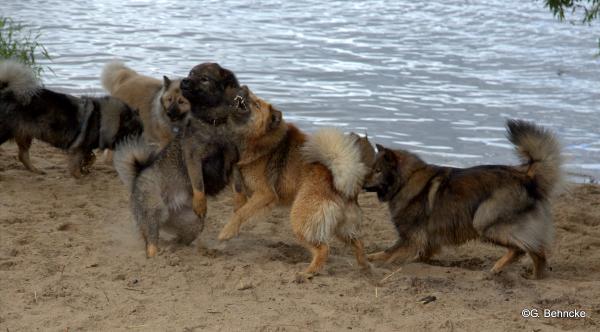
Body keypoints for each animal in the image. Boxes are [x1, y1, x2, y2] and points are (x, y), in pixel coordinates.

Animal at [0, 60, 143, 178]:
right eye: (134, 133)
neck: (103, 119)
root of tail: (5, 93)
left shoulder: (85, 147)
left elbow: (91, 158)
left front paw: (86, 168)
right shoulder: (79, 148)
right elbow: (76, 163)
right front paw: (79, 176)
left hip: (25, 134)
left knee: (23, 156)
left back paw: (36, 170)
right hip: (7, 133)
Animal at [216, 90, 376, 280]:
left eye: (256, 104)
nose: (244, 90)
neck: (258, 138)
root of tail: (341, 184)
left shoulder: (265, 194)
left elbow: (241, 213)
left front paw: (226, 233)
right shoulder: (241, 187)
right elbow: (238, 206)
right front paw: (234, 231)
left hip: (301, 221)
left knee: (323, 249)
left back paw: (308, 273)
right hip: (342, 227)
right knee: (358, 242)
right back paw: (365, 267)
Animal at [364, 118, 564, 278]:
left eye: (378, 170)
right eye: (372, 168)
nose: (360, 182)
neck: (406, 180)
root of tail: (526, 177)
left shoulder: (410, 239)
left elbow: (384, 254)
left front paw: (370, 260)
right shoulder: (427, 241)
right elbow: (418, 255)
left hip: (484, 221)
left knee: (522, 248)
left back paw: (497, 268)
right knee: (538, 252)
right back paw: (535, 278)